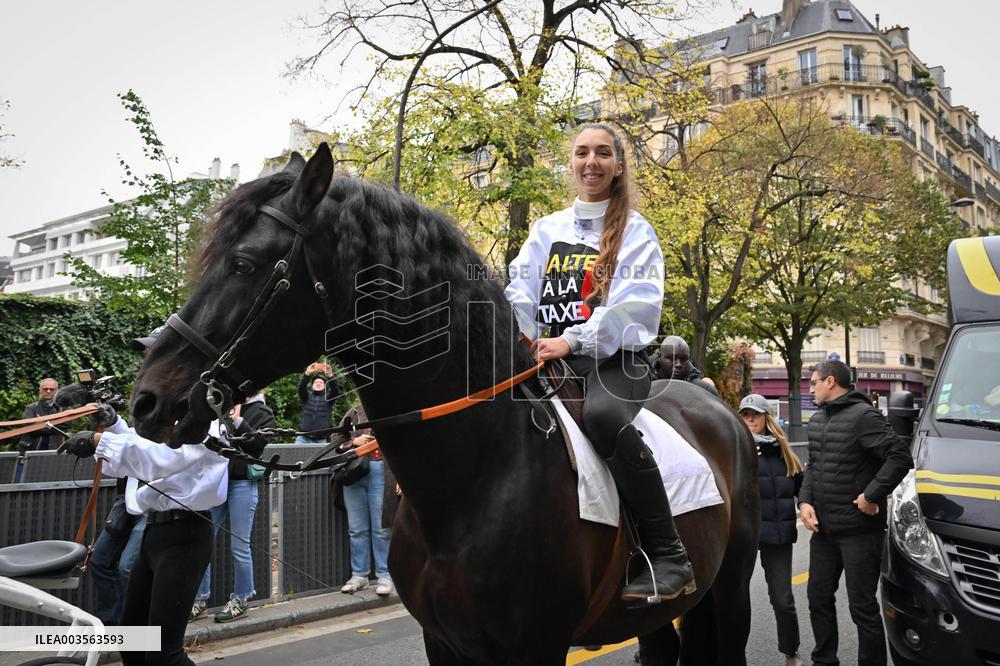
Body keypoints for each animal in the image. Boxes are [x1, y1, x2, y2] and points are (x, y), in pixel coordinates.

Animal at [129, 143, 759, 665]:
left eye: (243, 263)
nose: (148, 400)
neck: (475, 479)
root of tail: (720, 409)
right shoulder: (446, 643)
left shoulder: (536, 649)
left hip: (730, 589)